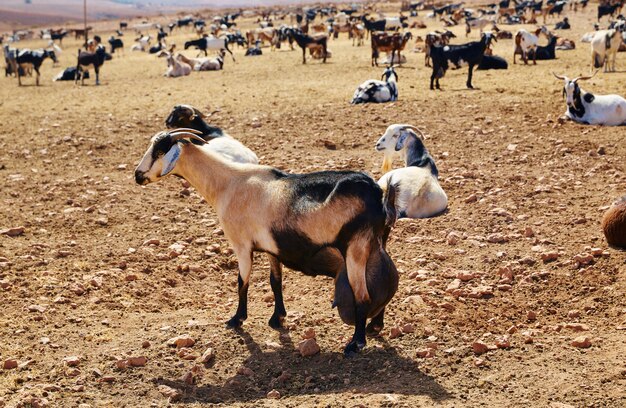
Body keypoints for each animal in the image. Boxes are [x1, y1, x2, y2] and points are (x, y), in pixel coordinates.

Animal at [135, 129, 400, 356]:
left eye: (160, 150)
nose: (138, 175)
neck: (228, 184)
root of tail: (379, 193)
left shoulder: (241, 245)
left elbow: (242, 282)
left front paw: (236, 319)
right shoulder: (272, 249)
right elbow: (275, 282)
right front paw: (277, 318)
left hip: (357, 247)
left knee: (362, 294)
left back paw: (356, 343)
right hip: (377, 245)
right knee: (386, 278)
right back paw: (375, 326)